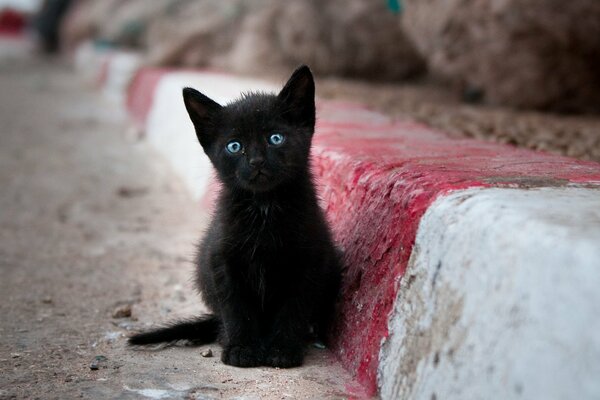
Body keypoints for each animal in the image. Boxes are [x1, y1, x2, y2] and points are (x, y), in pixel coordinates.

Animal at [128, 66, 340, 368]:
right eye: (234, 146)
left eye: (275, 138)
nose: (256, 161)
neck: (264, 207)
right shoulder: (222, 260)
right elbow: (236, 308)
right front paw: (241, 348)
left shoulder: (309, 261)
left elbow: (294, 307)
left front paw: (283, 350)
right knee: (222, 319)